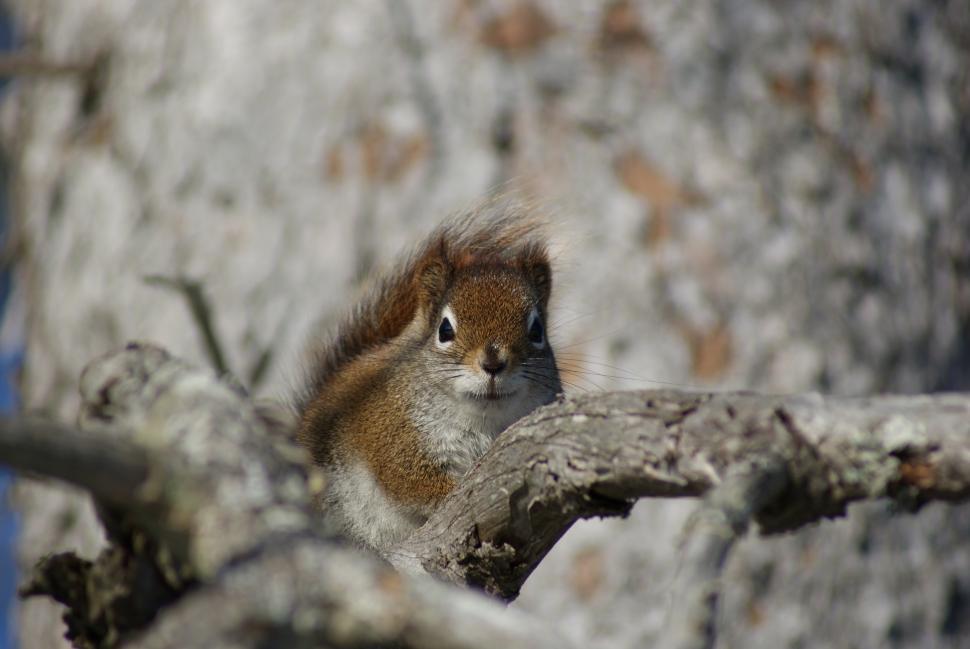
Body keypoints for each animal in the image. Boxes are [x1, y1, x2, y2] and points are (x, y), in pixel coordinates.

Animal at [296, 203, 561, 552]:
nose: (493, 363)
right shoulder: (386, 431)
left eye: (537, 331)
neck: (484, 420)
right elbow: (406, 479)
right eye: (444, 329)